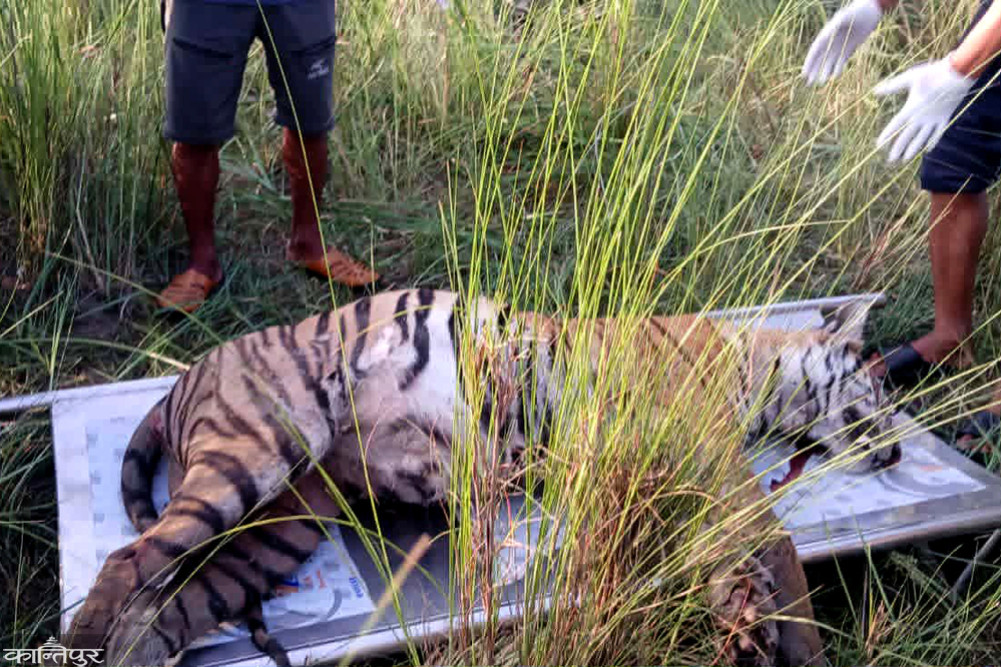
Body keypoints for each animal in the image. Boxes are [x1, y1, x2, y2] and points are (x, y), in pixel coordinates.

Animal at [62, 288, 900, 667]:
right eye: (882, 384)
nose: (895, 453)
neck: (754, 362)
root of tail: (179, 379)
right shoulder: (716, 471)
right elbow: (781, 554)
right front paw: (803, 651)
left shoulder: (693, 487)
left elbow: (735, 570)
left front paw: (748, 634)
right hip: (254, 448)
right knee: (126, 563)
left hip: (280, 524)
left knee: (165, 607)